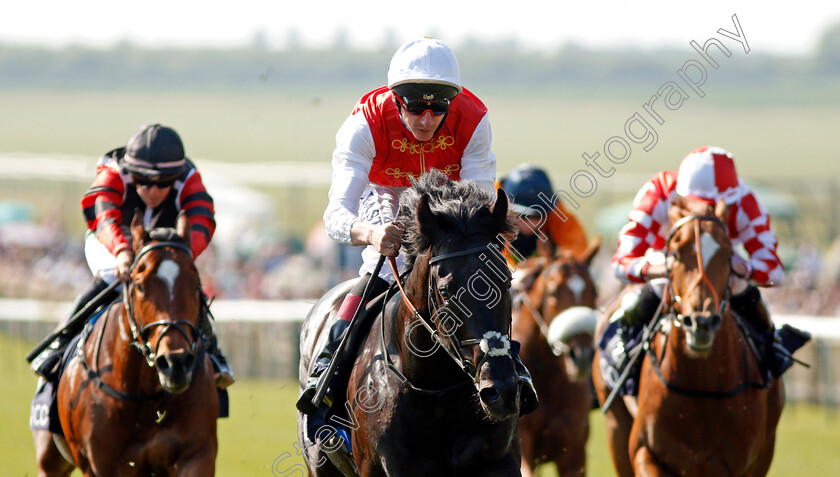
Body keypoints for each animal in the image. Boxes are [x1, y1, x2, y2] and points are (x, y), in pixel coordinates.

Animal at [35, 214, 220, 474]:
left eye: (196, 285)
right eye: (140, 286)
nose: (176, 363)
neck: (144, 397)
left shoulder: (196, 454)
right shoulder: (101, 465)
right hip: (49, 458)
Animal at [592, 196, 784, 476]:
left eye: (728, 255)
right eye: (675, 254)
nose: (701, 323)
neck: (701, 388)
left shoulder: (742, 464)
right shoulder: (643, 451)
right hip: (614, 424)